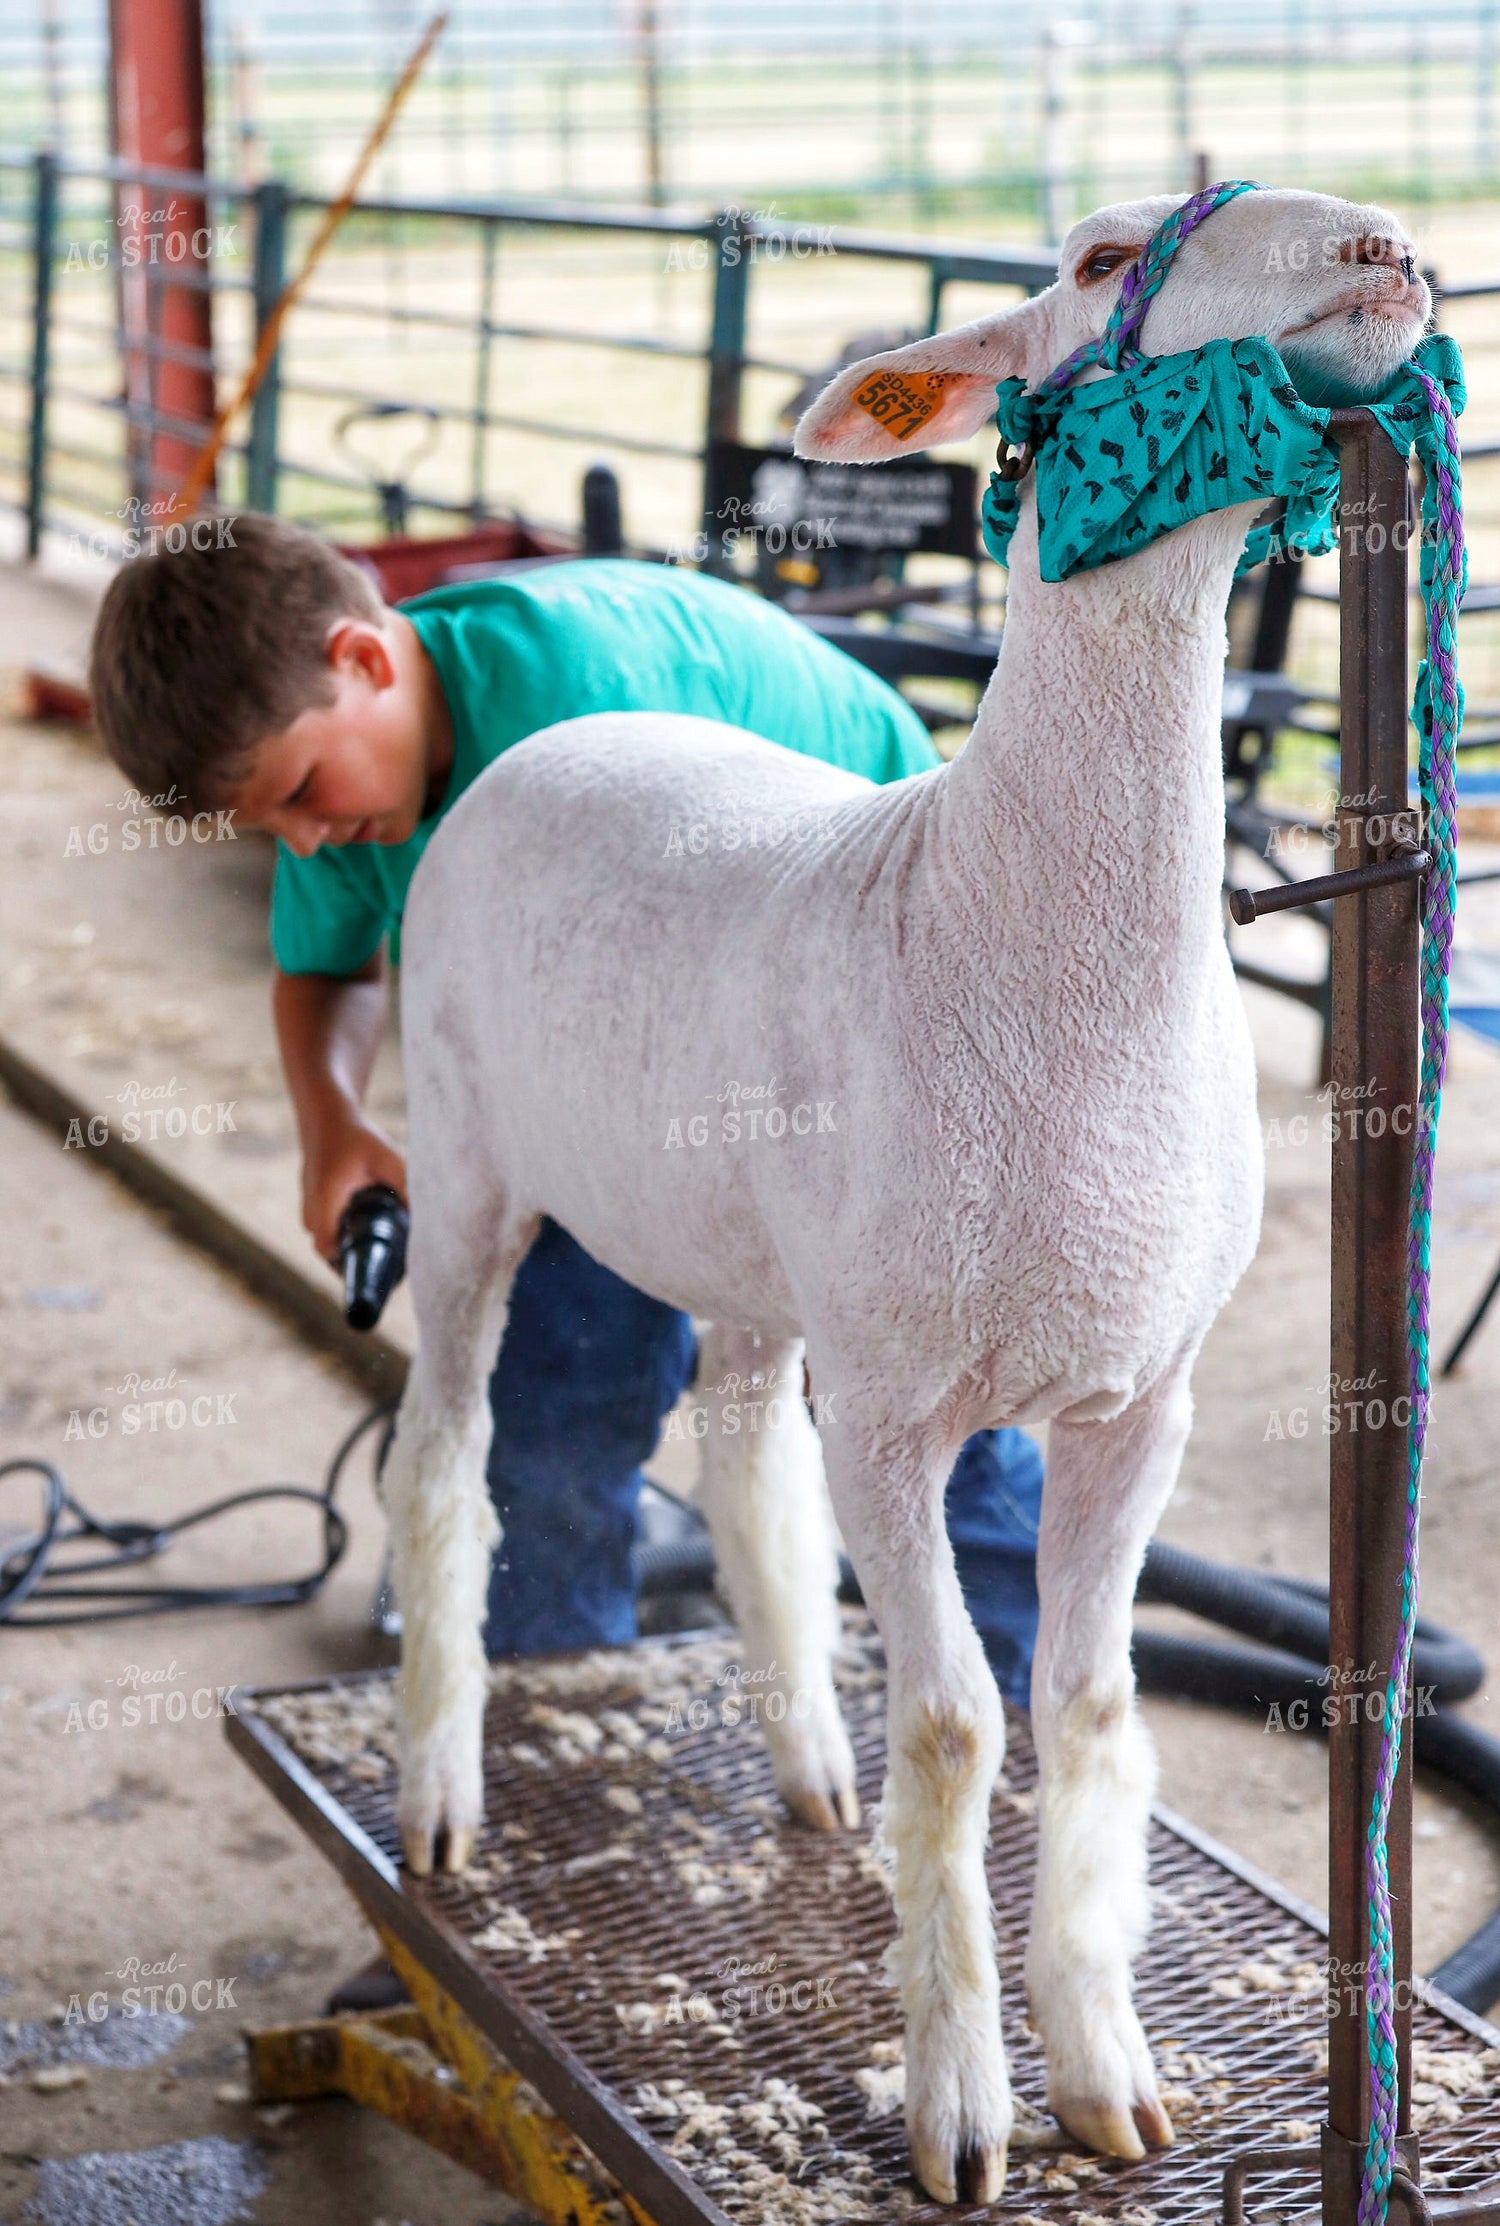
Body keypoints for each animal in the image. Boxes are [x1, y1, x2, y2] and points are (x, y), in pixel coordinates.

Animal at [380, 188, 1430, 2205]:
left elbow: (1086, 1704)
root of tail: (558, 732)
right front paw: (962, 2105)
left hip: (755, 1250)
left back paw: (804, 1765)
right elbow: (955, 1721)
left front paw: (1108, 2076)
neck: (1006, 932)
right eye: (1096, 259)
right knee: (447, 1457)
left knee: (734, 1444)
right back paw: (441, 1792)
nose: (1387, 249)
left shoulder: (1137, 1396)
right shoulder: (895, 1408)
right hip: (465, 1168)